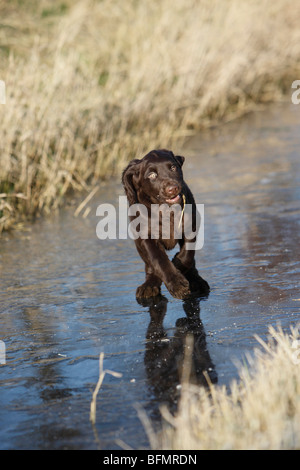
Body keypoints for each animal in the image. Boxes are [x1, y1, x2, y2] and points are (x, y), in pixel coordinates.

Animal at [121, 149, 209, 300]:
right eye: (152, 175)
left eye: (173, 168)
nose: (172, 189)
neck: (167, 210)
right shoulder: (146, 237)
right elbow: (158, 259)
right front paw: (177, 285)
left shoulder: (190, 226)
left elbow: (187, 254)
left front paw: (177, 263)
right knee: (149, 266)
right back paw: (149, 286)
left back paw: (197, 281)